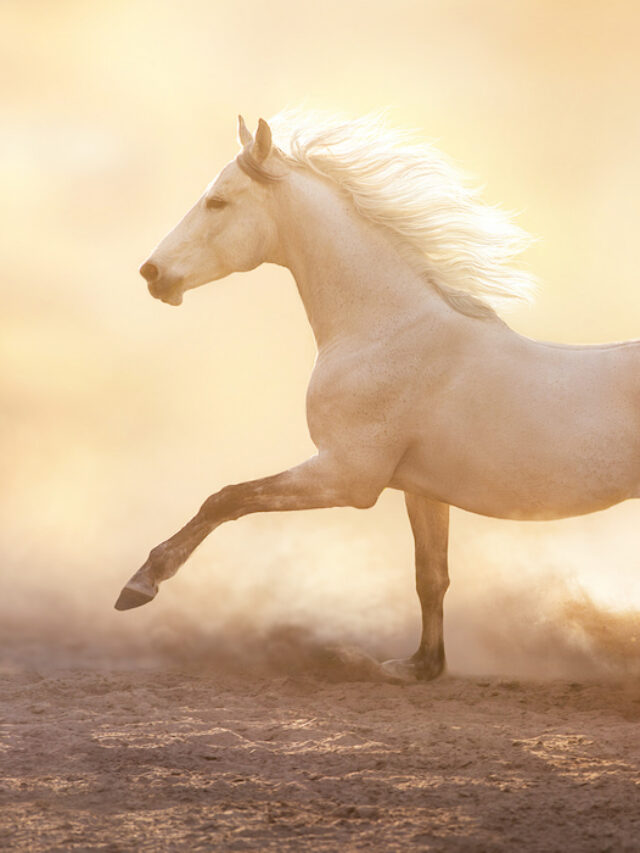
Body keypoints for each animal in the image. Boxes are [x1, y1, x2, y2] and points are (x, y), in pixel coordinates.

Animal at [116, 111, 640, 681]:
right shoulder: (421, 490)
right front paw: (418, 667)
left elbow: (227, 498)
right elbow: (430, 576)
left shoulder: (347, 476)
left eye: (217, 201)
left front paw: (140, 584)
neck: (385, 330)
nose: (151, 273)